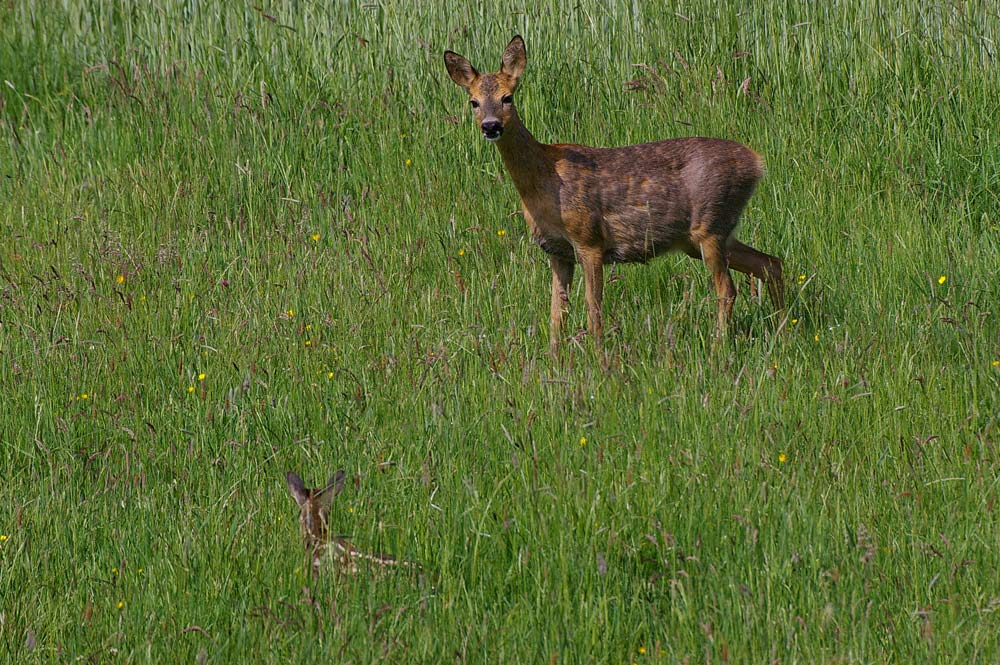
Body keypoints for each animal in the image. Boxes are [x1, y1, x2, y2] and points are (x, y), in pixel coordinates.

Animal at [444, 33, 780, 356]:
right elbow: (556, 314)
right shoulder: (556, 251)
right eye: (474, 101)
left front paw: (598, 360)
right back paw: (782, 328)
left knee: (728, 289)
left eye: (507, 97)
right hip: (708, 236)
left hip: (710, 225)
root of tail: (757, 162)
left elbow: (593, 309)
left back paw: (719, 347)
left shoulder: (589, 239)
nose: (491, 126)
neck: (545, 180)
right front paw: (553, 361)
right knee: (771, 263)